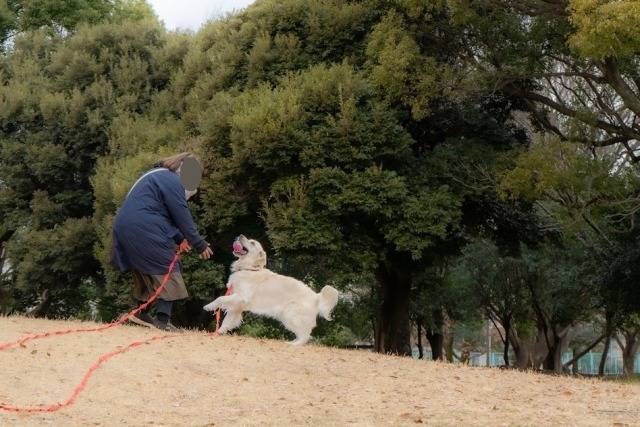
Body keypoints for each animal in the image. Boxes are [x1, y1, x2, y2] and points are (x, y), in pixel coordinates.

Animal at [204, 234, 340, 344]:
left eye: (252, 243)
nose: (239, 235)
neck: (249, 269)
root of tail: (316, 297)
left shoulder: (242, 297)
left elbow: (220, 298)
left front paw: (209, 306)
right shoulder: (236, 305)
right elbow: (227, 320)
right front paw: (219, 332)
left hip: (290, 314)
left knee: (305, 335)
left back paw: (293, 344)